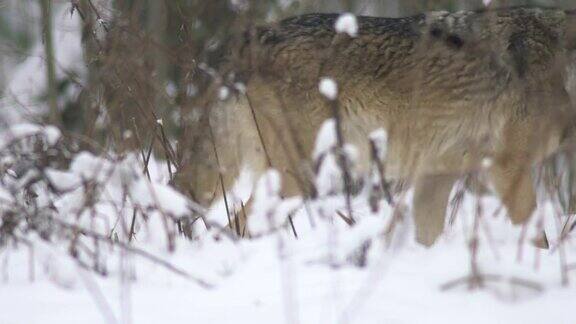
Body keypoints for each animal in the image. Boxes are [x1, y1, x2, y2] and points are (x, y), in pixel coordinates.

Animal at [201, 6, 576, 246]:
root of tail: (253, 37)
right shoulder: (509, 169)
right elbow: (538, 240)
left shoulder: (435, 177)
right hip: (297, 180)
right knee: (232, 226)